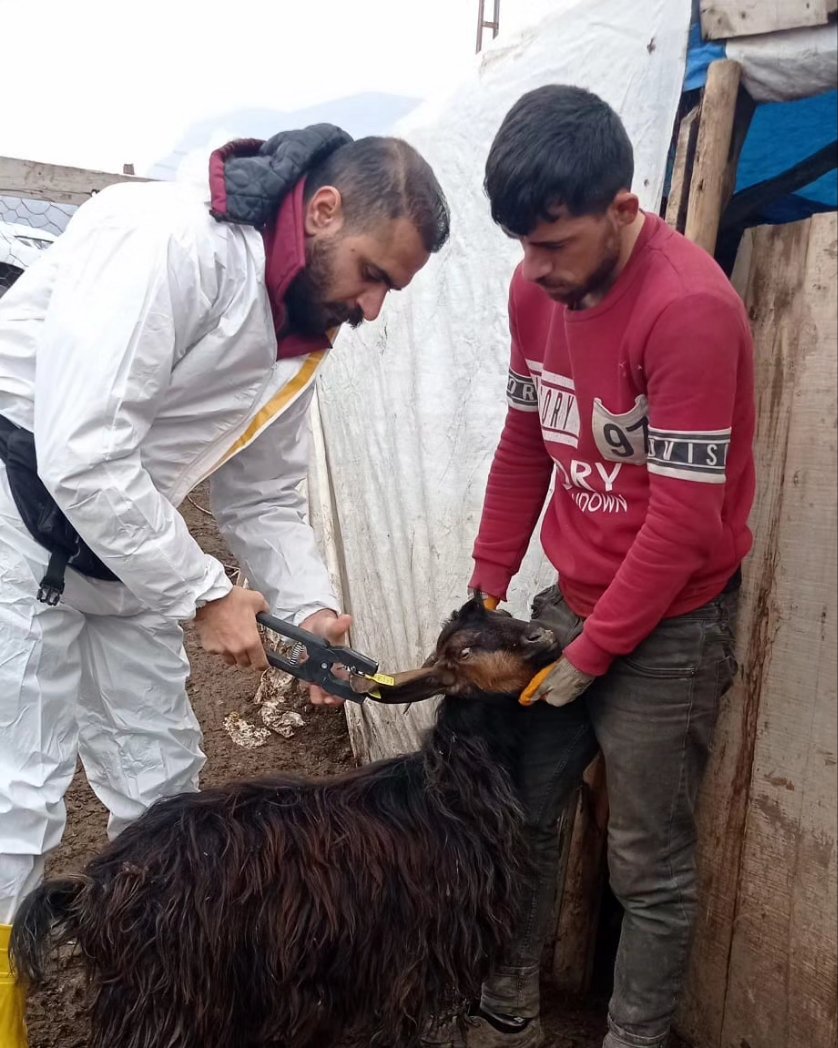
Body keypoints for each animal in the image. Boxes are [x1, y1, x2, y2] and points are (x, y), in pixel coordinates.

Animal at [9, 599, 561, 1048]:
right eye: (463, 651)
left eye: (508, 618)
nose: (543, 635)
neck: (449, 787)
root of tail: (91, 886)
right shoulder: (426, 947)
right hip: (163, 994)